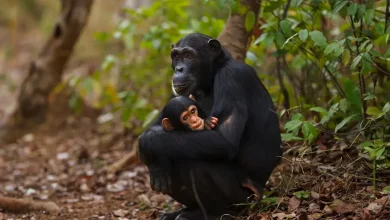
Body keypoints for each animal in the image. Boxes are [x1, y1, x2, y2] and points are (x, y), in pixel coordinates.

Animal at [139, 33, 282, 220]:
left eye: (188, 55)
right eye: (176, 56)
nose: (179, 69)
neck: (210, 79)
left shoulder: (231, 77)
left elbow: (223, 139)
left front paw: (146, 142)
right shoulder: (176, 95)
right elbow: (163, 122)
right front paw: (155, 164)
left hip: (244, 198)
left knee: (193, 162)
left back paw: (216, 214)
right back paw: (186, 210)